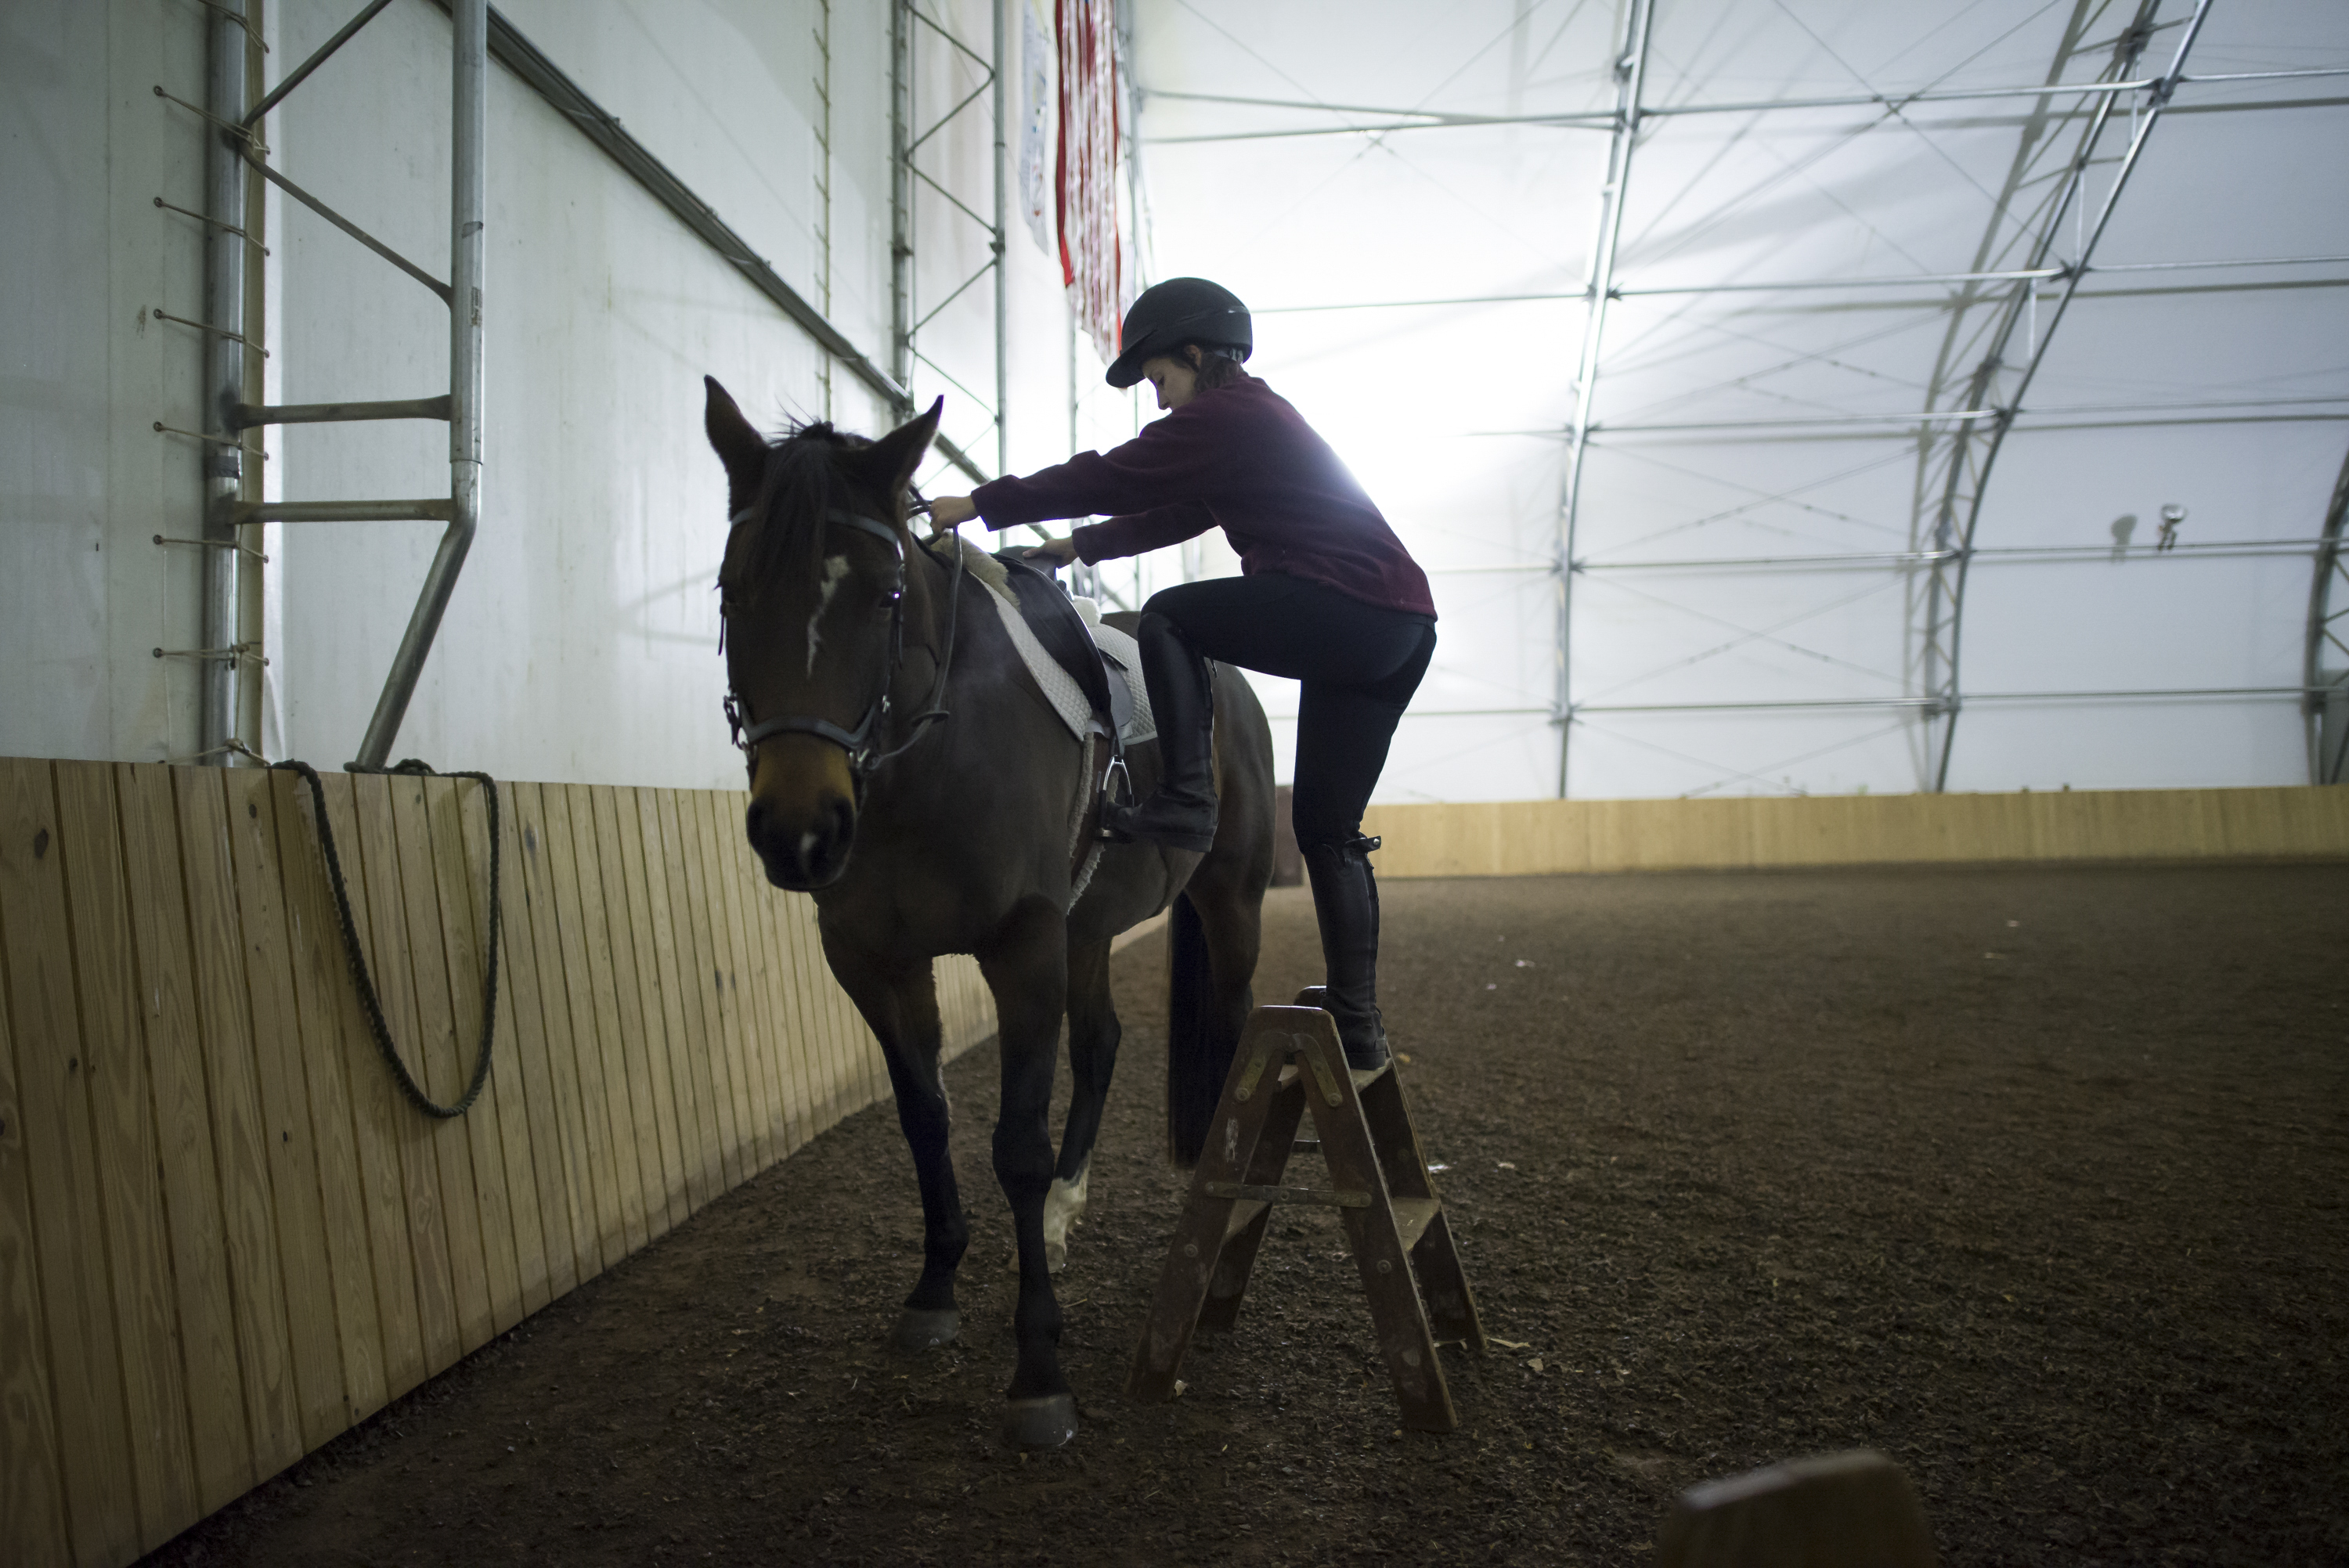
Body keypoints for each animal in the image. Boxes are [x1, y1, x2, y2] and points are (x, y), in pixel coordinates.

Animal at [700, 375, 1278, 1446]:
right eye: (731, 589)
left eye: (885, 595)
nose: (800, 831)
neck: (923, 753)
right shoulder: (871, 956)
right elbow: (925, 1117)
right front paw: (934, 1291)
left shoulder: (1021, 946)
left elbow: (1015, 1143)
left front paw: (1038, 1372)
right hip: (1088, 927)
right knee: (1102, 1042)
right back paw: (1064, 1208)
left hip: (1229, 903)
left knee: (1230, 1032)